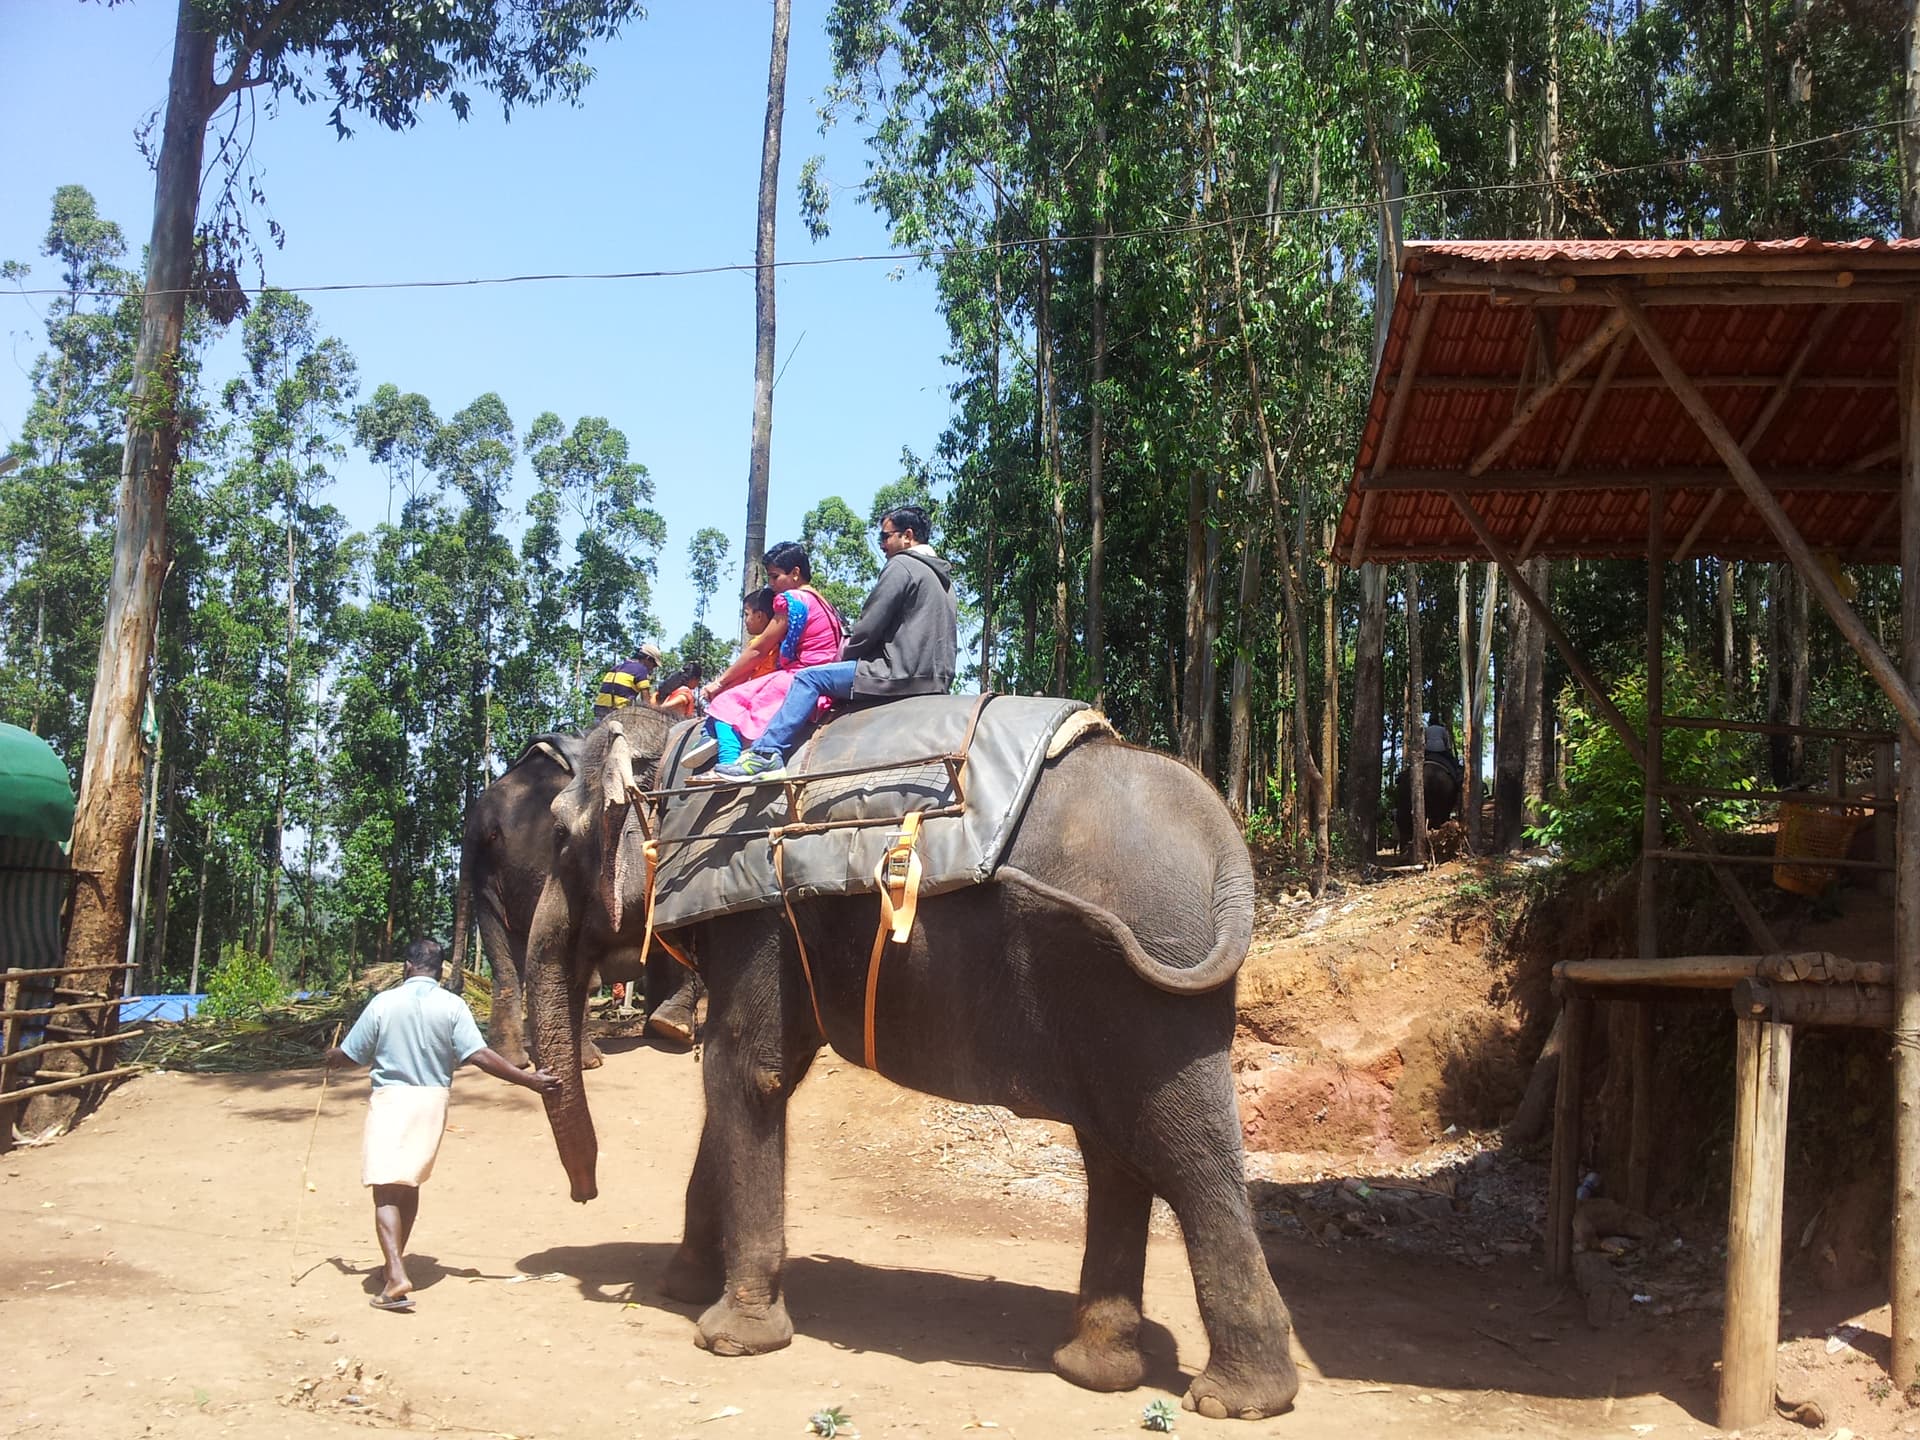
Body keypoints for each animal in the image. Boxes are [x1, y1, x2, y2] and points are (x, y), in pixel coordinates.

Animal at [448, 729, 701, 1069]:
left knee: (505, 959)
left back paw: (513, 1061)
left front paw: (662, 1029)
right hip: (541, 860)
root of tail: (482, 816)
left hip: (487, 876)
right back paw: (589, 1060)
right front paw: (675, 1030)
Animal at [522, 703, 1299, 1421]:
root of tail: (1226, 846)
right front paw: (680, 1287)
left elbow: (745, 1073)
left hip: (1151, 985)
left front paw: (728, 1338)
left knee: (1184, 1156)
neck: (684, 748)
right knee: (1115, 1152)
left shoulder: (756, 913)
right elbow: (755, 1077)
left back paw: (1234, 1400)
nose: (585, 1195)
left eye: (559, 836)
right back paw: (1094, 1370)